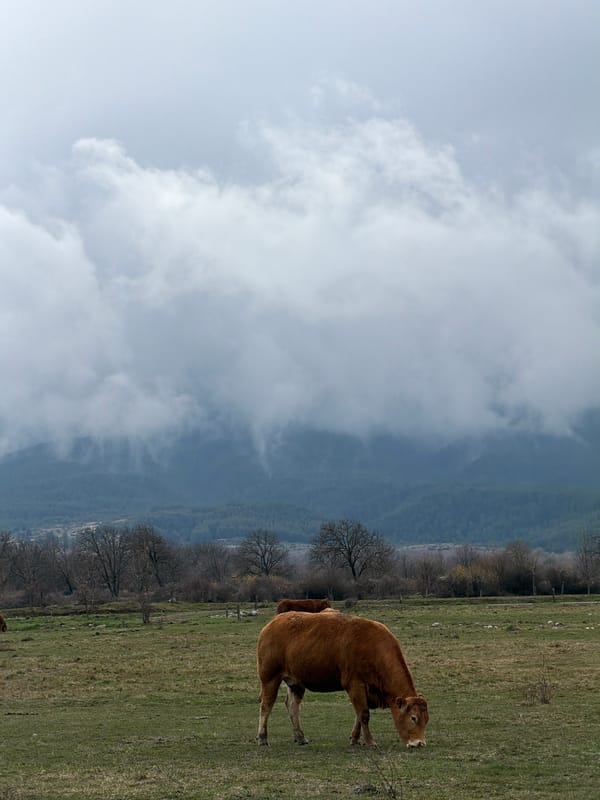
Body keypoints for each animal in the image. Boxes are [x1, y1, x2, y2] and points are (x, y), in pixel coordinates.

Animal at [257, 611, 428, 749]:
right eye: (413, 718)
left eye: (426, 719)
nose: (419, 743)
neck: (373, 646)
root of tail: (272, 623)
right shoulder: (355, 685)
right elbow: (364, 714)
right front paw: (370, 741)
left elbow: (359, 715)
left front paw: (355, 739)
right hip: (270, 679)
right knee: (266, 706)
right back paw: (262, 738)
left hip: (296, 683)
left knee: (293, 706)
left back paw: (300, 737)